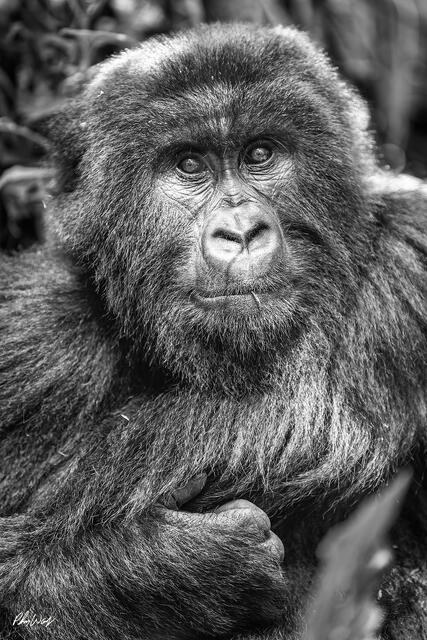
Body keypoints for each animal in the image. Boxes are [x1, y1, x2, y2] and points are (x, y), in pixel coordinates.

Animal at [0, 22, 427, 640]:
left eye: (261, 153)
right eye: (189, 164)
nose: (242, 230)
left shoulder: (411, 251)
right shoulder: (30, 335)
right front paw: (165, 566)